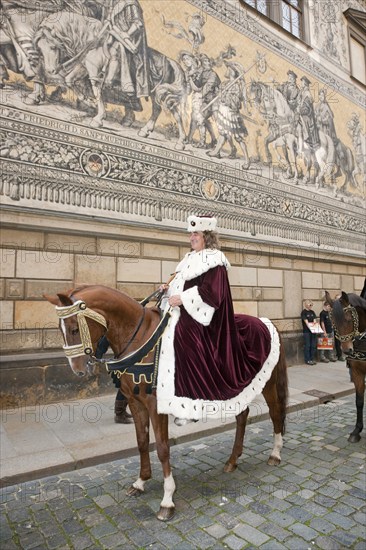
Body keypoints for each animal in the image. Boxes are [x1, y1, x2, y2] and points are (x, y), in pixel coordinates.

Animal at [43, 286, 288, 524]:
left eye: (74, 329)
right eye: (60, 329)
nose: (78, 369)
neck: (140, 340)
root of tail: (266, 321)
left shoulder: (155, 405)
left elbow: (162, 448)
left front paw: (167, 499)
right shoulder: (135, 403)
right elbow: (142, 442)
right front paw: (140, 481)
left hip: (268, 382)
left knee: (276, 413)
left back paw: (275, 454)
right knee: (242, 416)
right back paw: (232, 460)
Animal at [326, 284, 366, 444]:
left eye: (349, 319)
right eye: (333, 320)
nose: (347, 350)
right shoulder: (357, 372)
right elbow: (359, 401)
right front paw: (356, 430)